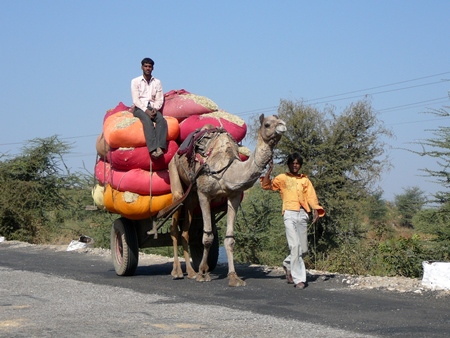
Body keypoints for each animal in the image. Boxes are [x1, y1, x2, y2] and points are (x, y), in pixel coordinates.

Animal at [167, 115, 286, 286]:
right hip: (174, 174)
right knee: (175, 225)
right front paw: (203, 274)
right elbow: (207, 237)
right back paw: (177, 272)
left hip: (191, 195)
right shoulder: (204, 194)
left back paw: (190, 272)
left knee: (185, 229)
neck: (226, 169)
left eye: (280, 119)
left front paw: (234, 277)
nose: (283, 126)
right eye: (267, 124)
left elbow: (230, 240)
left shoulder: (233, 196)